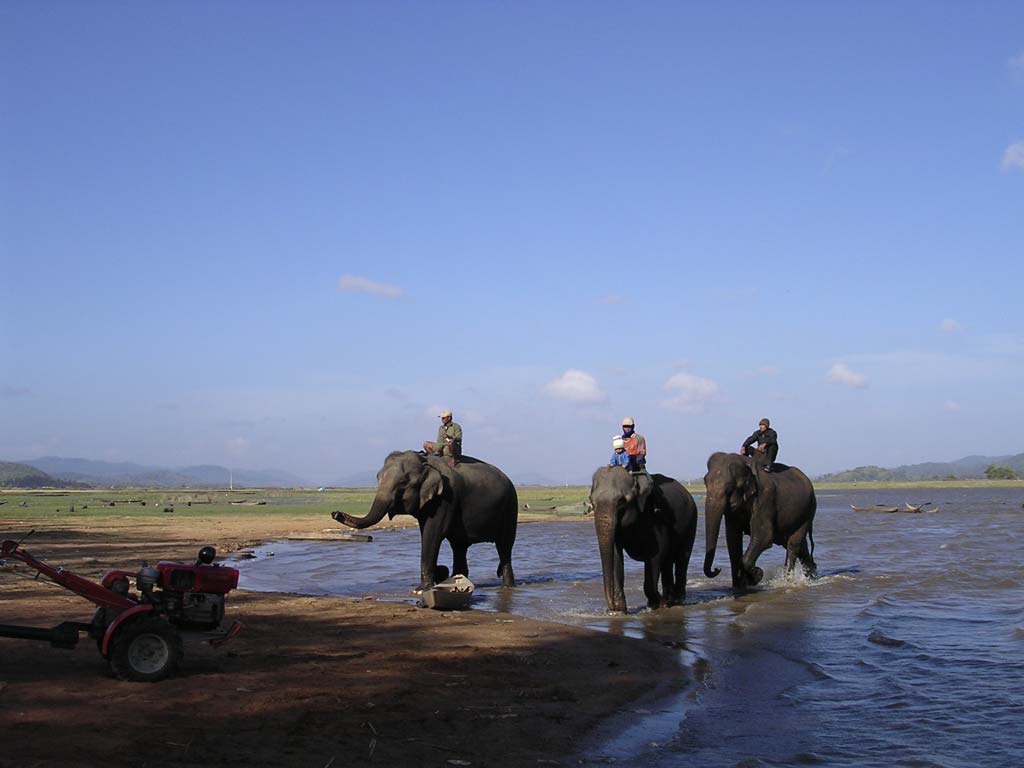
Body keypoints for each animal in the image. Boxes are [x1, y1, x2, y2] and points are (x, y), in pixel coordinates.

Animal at [331, 450, 516, 593]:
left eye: (403, 483)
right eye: (378, 478)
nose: (335, 513)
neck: (425, 461)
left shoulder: (446, 497)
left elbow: (432, 533)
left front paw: (421, 589)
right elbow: (425, 532)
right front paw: (434, 579)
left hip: (510, 506)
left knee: (504, 546)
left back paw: (508, 587)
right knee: (459, 547)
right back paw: (457, 580)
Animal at [589, 466, 700, 618]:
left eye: (621, 501)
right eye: (592, 502)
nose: (610, 608)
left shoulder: (654, 518)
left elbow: (656, 554)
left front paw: (659, 604)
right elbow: (616, 556)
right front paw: (620, 611)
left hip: (691, 521)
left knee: (682, 558)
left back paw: (675, 601)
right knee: (667, 562)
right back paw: (668, 600)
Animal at [704, 448, 815, 593]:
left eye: (730, 489)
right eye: (705, 483)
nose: (717, 569)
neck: (746, 463)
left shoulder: (764, 497)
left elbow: (763, 536)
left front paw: (756, 576)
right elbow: (733, 540)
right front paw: (739, 587)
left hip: (808, 511)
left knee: (793, 544)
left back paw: (788, 582)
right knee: (799, 545)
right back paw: (811, 577)